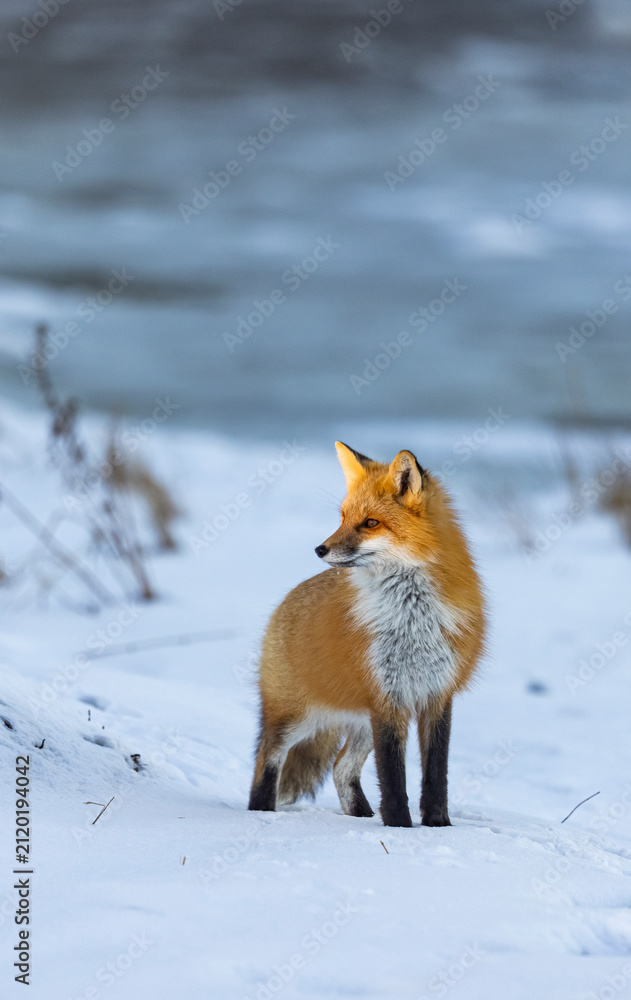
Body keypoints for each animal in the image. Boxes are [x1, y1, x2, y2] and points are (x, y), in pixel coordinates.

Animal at [248, 442, 486, 828]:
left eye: (371, 523)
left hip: (360, 722)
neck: (411, 619)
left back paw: (359, 815)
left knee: (340, 768)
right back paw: (260, 813)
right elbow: (392, 776)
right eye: (342, 517)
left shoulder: (436, 693)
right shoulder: (387, 697)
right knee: (266, 758)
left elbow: (436, 774)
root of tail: (288, 598)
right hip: (296, 716)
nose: (320, 549)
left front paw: (438, 826)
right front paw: (400, 827)